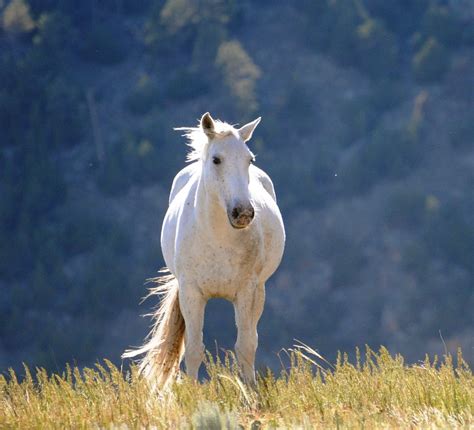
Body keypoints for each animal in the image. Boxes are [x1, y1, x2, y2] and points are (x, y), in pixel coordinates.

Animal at [123, 112, 286, 388]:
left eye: (249, 159)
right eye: (216, 159)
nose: (243, 213)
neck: (218, 237)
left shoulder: (246, 291)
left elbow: (245, 346)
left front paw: (250, 392)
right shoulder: (191, 293)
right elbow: (194, 349)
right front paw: (192, 392)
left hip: (259, 292)